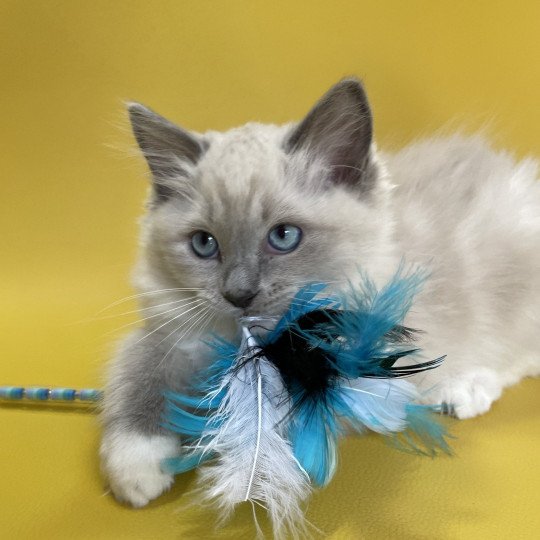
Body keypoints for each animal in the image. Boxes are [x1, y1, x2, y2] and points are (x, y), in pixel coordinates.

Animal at [99, 79, 536, 506]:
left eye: (284, 237)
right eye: (204, 244)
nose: (239, 294)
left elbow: (269, 413)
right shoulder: (167, 333)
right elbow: (137, 374)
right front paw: (137, 465)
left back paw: (464, 388)